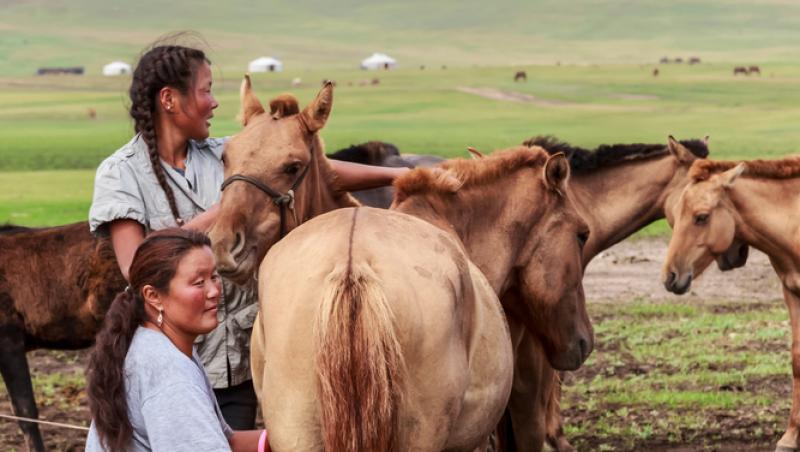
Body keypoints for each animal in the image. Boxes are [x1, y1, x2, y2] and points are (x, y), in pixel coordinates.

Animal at [664, 156, 800, 452]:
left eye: (701, 217)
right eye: (674, 215)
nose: (670, 277)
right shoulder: (792, 292)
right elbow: (797, 358)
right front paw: (791, 436)